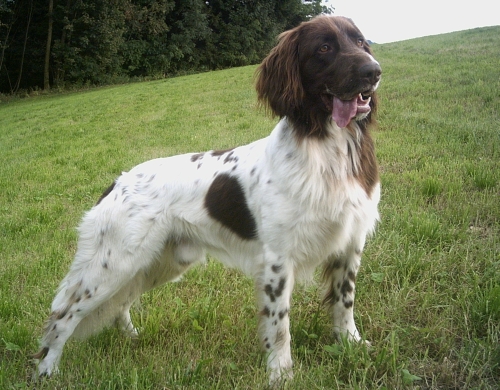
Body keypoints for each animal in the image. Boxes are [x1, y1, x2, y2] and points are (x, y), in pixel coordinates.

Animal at [34, 15, 382, 384]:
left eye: (361, 42)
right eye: (324, 47)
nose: (374, 71)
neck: (328, 149)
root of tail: (117, 181)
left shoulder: (350, 242)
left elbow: (344, 302)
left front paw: (351, 345)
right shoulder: (277, 259)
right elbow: (279, 325)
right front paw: (280, 373)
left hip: (156, 264)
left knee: (119, 306)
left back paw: (131, 338)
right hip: (113, 266)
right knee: (62, 317)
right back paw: (46, 370)